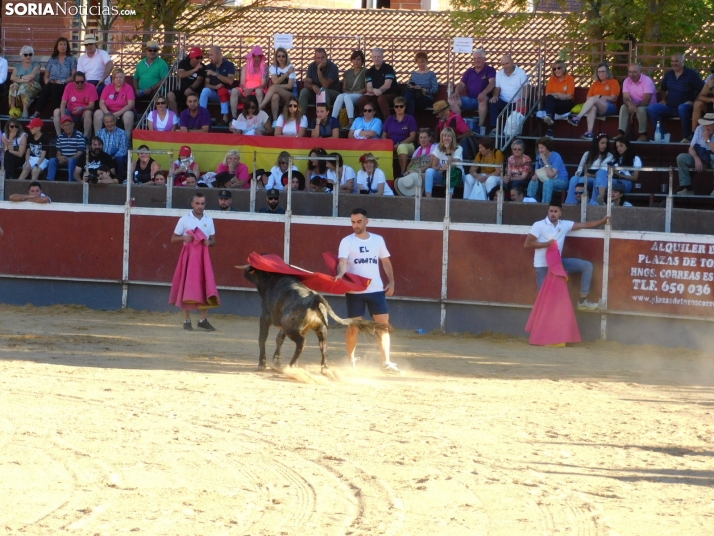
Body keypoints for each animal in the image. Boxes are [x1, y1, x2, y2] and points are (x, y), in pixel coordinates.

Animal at [239, 264, 390, 372]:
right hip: (320, 328)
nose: (244, 271)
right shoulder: (284, 325)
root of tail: (314, 298)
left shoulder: (265, 317)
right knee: (323, 346)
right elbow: (279, 339)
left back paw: (292, 365)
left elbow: (262, 338)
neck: (271, 280)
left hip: (292, 329)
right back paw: (324, 368)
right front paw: (276, 361)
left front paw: (262, 364)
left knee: (301, 342)